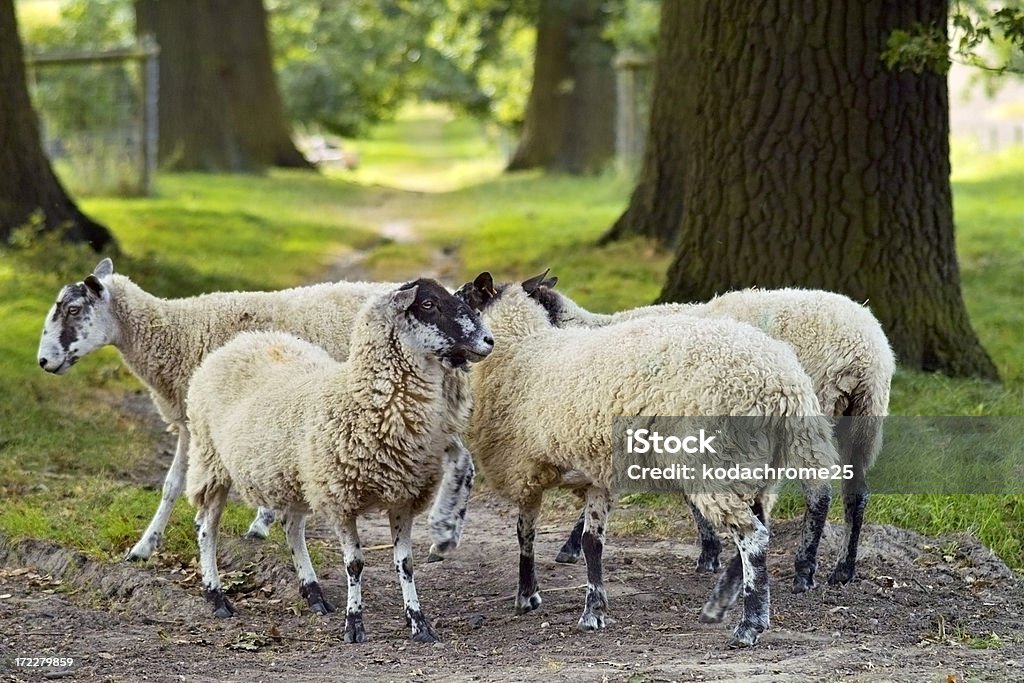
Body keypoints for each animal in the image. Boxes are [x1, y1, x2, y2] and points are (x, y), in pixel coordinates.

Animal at [35, 259, 475, 565]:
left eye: (72, 310)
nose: (43, 361)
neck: (174, 332)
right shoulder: (195, 422)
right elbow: (171, 485)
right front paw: (144, 547)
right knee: (461, 459)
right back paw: (445, 534)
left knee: (463, 461)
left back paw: (442, 532)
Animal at [186, 276, 493, 643]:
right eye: (429, 304)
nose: (488, 341)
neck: (360, 397)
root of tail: (244, 340)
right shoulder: (340, 497)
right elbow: (355, 564)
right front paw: (354, 624)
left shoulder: (402, 496)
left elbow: (405, 564)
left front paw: (419, 623)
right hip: (210, 459)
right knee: (207, 527)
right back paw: (217, 597)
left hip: (294, 476)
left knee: (292, 528)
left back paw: (313, 593)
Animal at [458, 272, 839, 647]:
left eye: (464, 297)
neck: (523, 350)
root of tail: (781, 381)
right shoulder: (594, 473)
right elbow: (592, 543)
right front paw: (593, 612)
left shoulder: (523, 468)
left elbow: (524, 534)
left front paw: (527, 597)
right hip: (755, 464)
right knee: (763, 525)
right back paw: (728, 600)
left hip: (714, 460)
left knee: (753, 536)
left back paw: (749, 625)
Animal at [528, 280, 897, 589]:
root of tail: (863, 351)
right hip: (863, 419)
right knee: (856, 493)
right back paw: (842, 569)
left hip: (809, 416)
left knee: (818, 492)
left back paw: (803, 570)